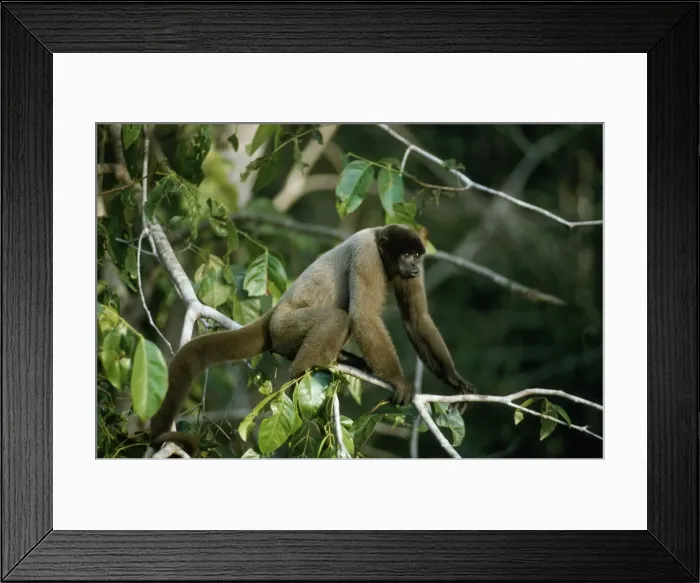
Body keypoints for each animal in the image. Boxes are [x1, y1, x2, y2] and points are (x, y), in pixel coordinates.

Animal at [149, 223, 476, 455]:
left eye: (418, 256)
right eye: (407, 254)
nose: (416, 266)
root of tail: (274, 313)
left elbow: (416, 319)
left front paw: (456, 381)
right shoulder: (367, 256)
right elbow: (364, 317)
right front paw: (399, 381)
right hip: (286, 327)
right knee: (338, 318)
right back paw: (303, 373)